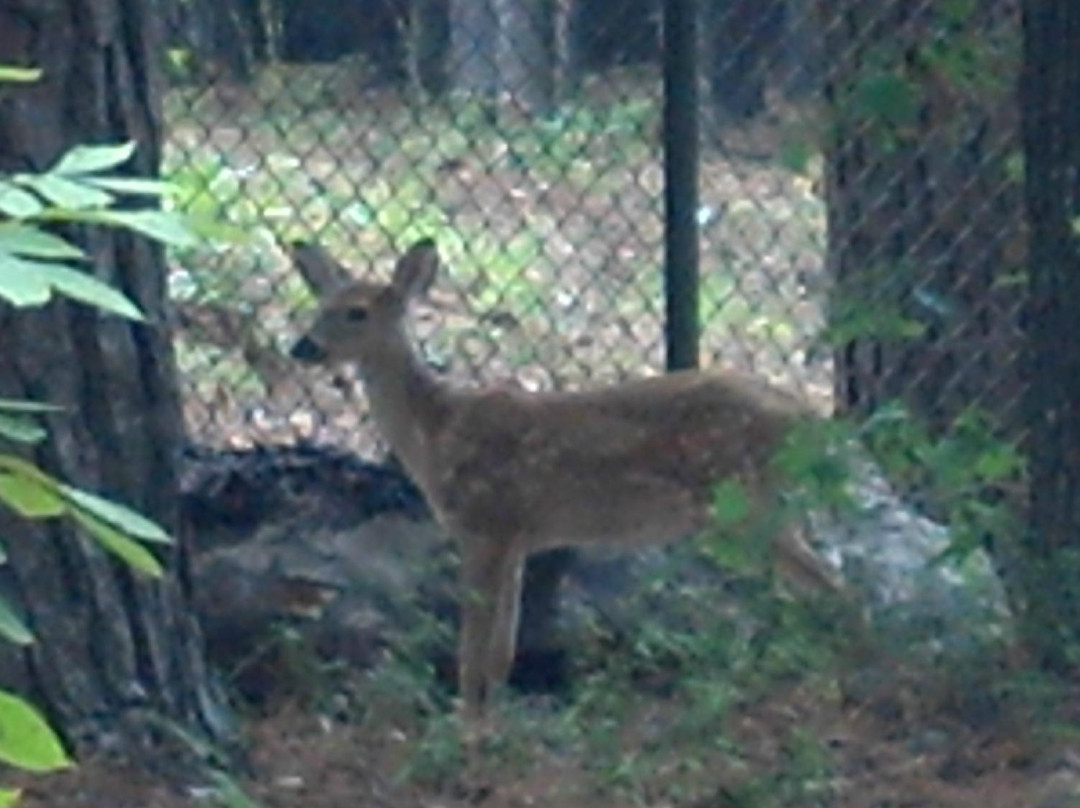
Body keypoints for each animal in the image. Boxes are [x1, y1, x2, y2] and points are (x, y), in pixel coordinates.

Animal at [291, 236, 846, 734]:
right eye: (319, 307)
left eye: (357, 313)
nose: (302, 347)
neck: (436, 432)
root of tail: (806, 416)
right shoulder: (516, 539)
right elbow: (502, 650)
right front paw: (493, 725)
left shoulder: (484, 525)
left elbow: (473, 647)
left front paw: (467, 731)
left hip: (749, 504)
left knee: (832, 585)